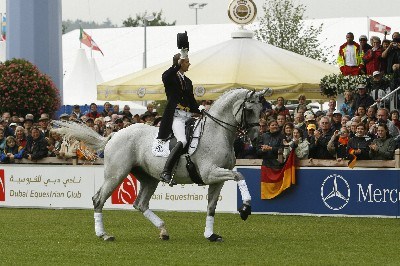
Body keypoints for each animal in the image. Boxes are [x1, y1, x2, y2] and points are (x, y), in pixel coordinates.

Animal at [53, 88, 266, 242]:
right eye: (249, 110)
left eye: (261, 110)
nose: (256, 139)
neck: (216, 132)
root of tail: (115, 134)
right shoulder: (210, 173)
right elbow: (240, 175)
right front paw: (245, 209)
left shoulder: (217, 178)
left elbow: (212, 206)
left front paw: (210, 235)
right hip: (116, 174)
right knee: (99, 199)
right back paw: (104, 235)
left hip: (148, 178)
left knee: (140, 204)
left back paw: (163, 231)